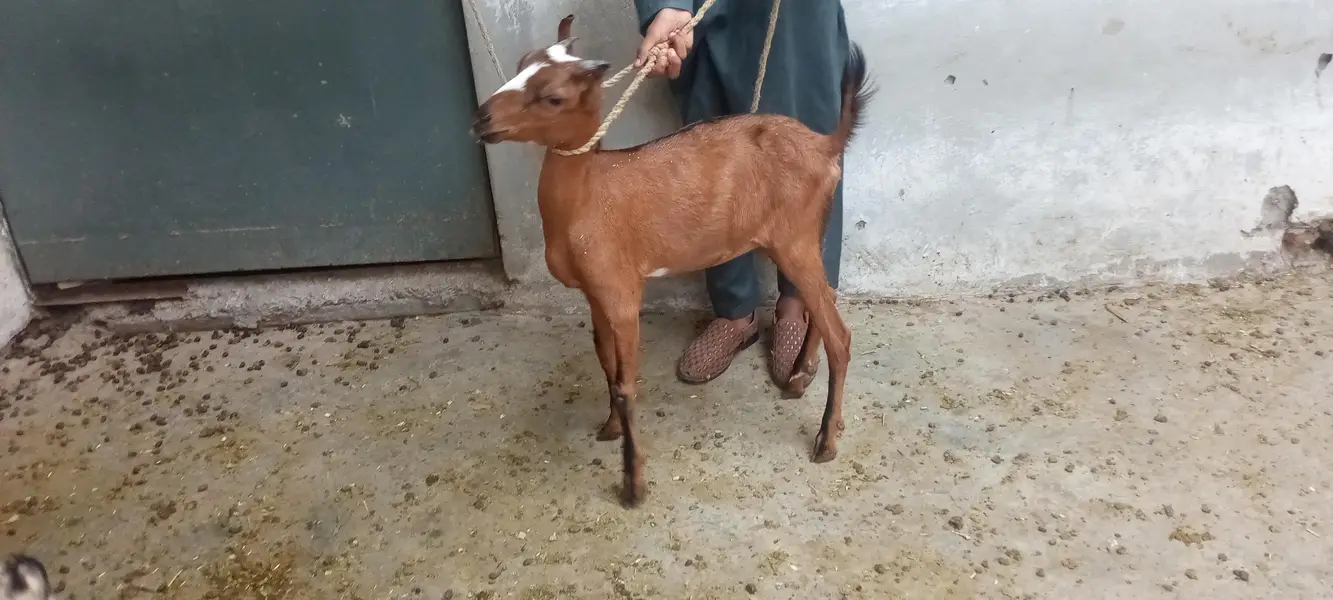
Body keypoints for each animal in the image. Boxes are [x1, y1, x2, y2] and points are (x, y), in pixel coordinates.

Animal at [473, 15, 872, 507]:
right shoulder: (595, 293)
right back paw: (799, 376)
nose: (482, 118)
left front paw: (633, 483)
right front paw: (609, 427)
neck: (588, 194)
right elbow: (606, 364)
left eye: (553, 96)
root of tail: (824, 145)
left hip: (794, 239)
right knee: (826, 296)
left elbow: (626, 385)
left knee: (841, 335)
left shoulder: (623, 294)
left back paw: (826, 439)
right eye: (520, 64)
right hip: (808, 234)